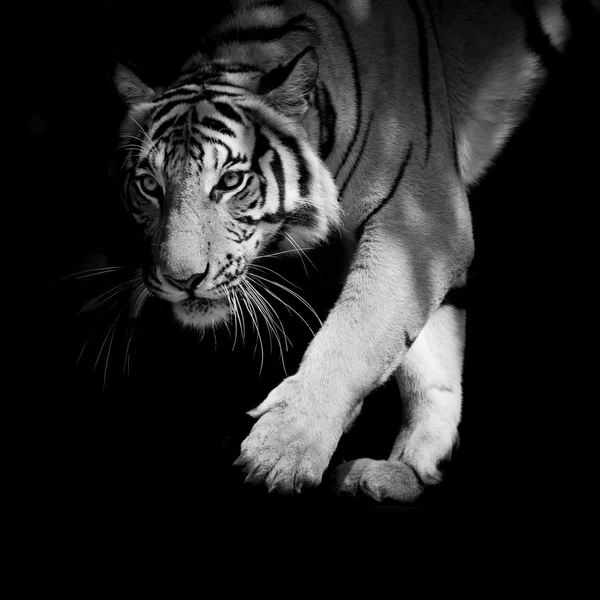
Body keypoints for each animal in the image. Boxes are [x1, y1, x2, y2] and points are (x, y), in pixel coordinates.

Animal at [111, 0, 596, 504]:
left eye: (230, 181)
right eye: (149, 185)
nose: (181, 279)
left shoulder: (422, 220)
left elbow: (353, 335)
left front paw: (284, 450)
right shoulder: (414, 249)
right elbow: (425, 360)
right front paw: (408, 470)